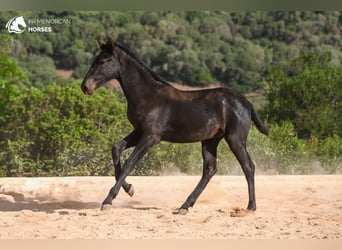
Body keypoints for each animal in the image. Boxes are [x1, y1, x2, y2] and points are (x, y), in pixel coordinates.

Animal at [81, 37, 268, 215]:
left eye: (104, 61)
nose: (85, 86)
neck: (147, 96)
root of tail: (247, 103)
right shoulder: (139, 132)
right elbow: (116, 149)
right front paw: (129, 189)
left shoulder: (151, 136)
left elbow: (130, 162)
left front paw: (108, 200)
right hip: (210, 140)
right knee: (210, 169)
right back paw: (185, 206)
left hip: (234, 138)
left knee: (248, 166)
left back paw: (251, 206)